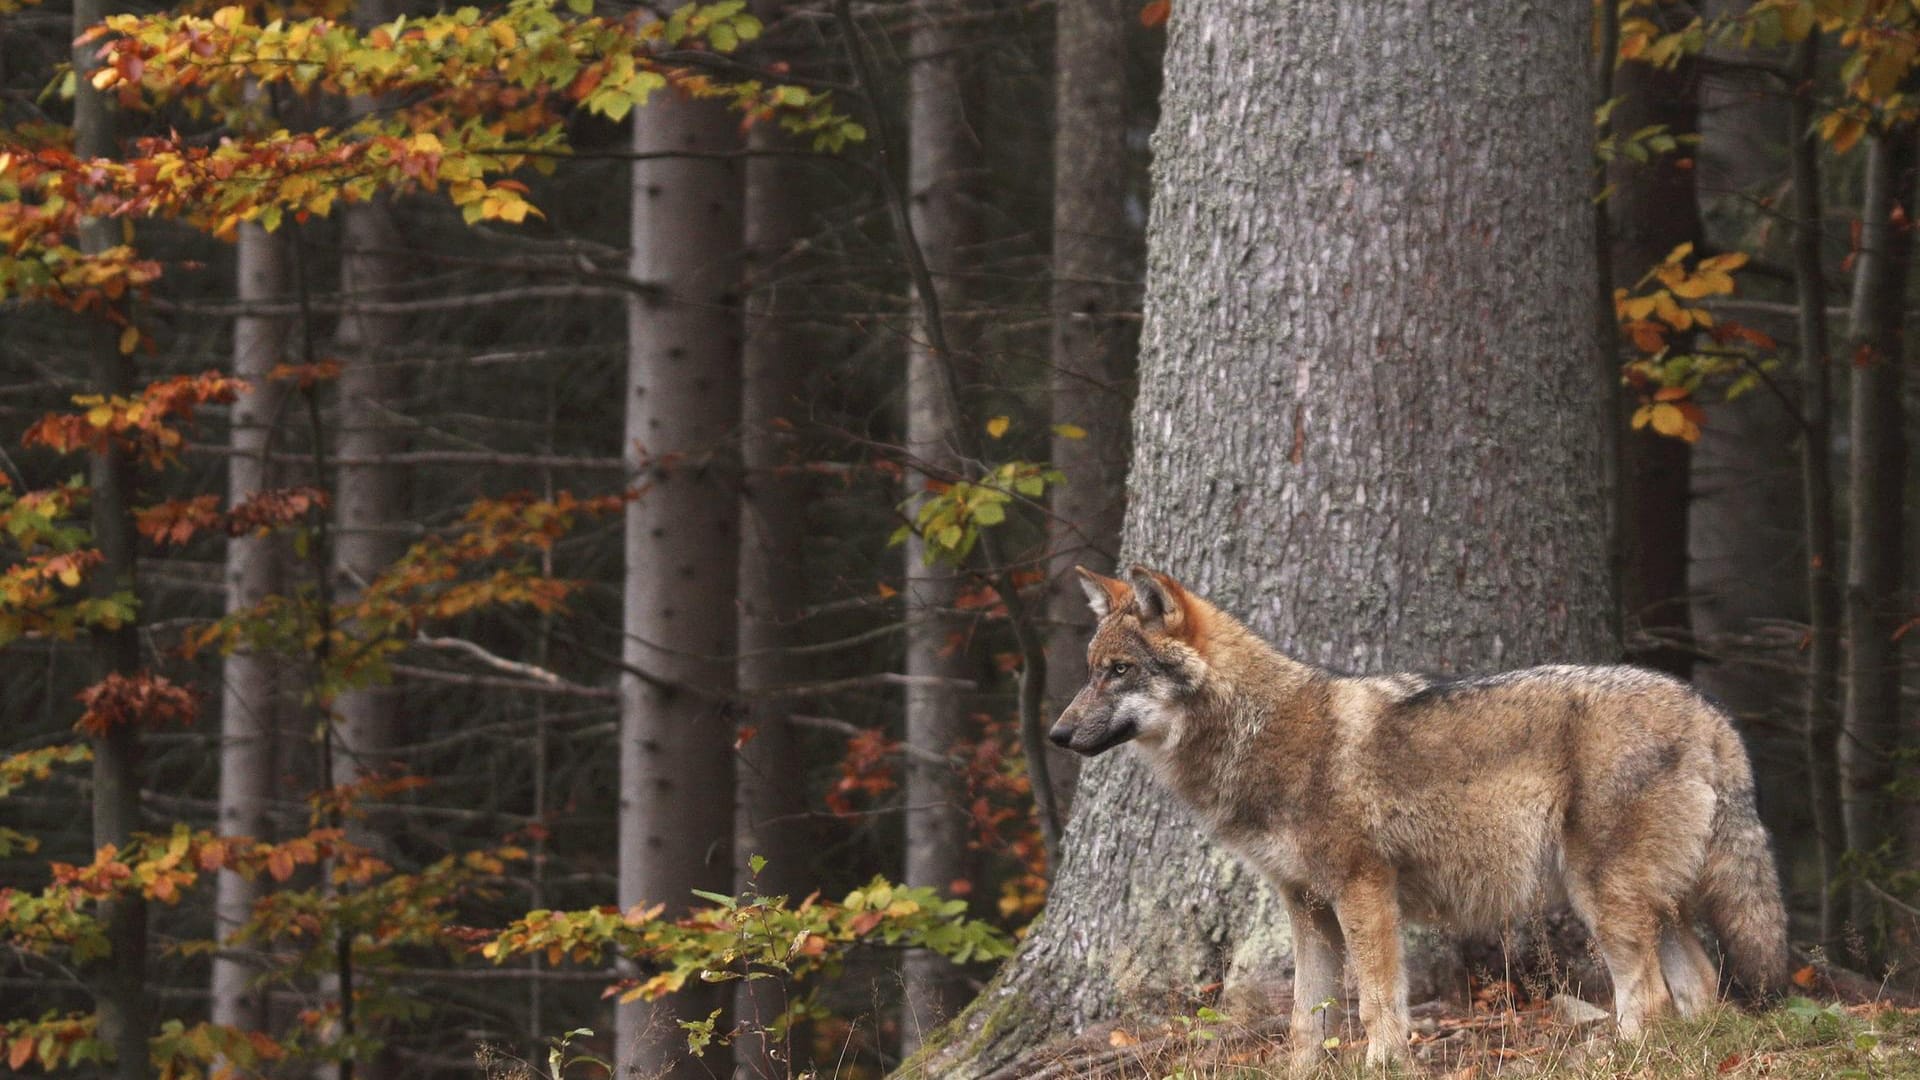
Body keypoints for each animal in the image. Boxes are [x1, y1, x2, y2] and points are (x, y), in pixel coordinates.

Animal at [1052, 564, 1781, 1068]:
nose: (1057, 734)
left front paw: (1383, 1064)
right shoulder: (1305, 907)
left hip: (1600, 897)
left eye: (1119, 671)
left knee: (1650, 997)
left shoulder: (1364, 890)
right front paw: (1304, 1071)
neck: (1257, 733)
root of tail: (1708, 711)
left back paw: (1615, 1060)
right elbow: (1306, 1016)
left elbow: (1378, 1000)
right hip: (1648, 903)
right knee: (1700, 988)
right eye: (1091, 671)